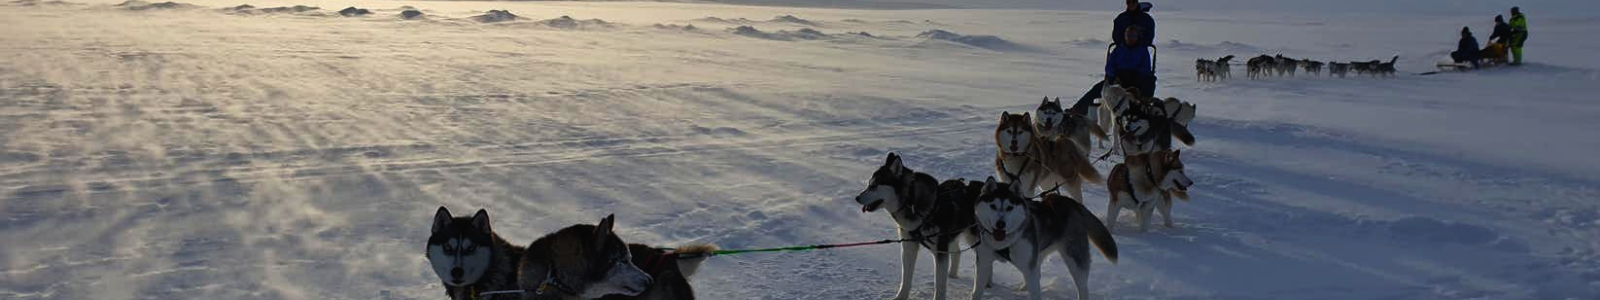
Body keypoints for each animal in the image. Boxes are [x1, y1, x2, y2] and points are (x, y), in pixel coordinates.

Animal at [857, 152, 979, 300]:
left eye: (874, 186)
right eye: (869, 184)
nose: (857, 198)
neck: (912, 203)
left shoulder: (940, 252)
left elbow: (939, 285)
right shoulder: (909, 247)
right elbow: (906, 278)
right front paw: (901, 297)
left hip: (974, 238)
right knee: (958, 252)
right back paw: (953, 275)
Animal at [966, 177, 1120, 300]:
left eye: (1009, 207)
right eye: (993, 206)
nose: (1000, 224)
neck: (1003, 243)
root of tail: (1071, 202)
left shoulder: (1029, 267)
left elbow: (1035, 292)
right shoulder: (984, 262)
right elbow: (976, 291)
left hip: (1075, 259)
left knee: (1082, 287)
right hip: (1039, 252)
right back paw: (1023, 288)